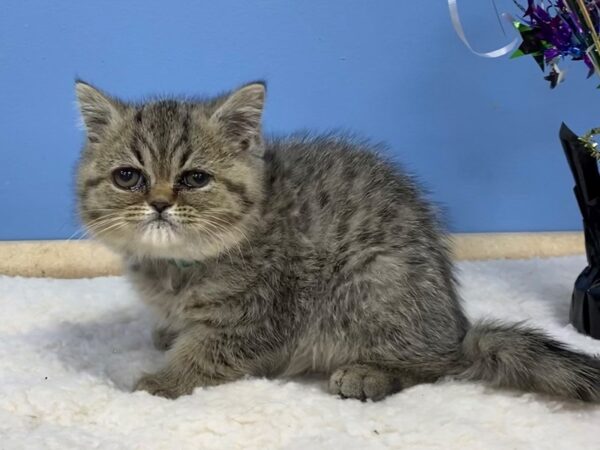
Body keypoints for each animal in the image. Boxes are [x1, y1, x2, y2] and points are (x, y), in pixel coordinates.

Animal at [75, 80, 600, 400]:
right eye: (128, 177)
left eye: (195, 179)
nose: (160, 203)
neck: (179, 264)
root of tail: (457, 328)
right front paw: (168, 333)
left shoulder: (261, 313)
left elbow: (210, 352)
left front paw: (164, 381)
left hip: (371, 281)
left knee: (439, 366)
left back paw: (370, 373)